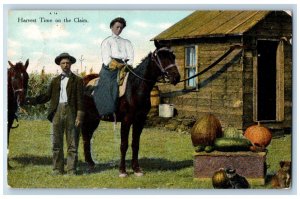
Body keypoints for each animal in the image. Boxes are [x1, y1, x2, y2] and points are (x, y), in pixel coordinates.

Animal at [81, 42, 180, 177]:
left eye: (173, 57)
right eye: (162, 57)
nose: (176, 77)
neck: (135, 88)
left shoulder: (140, 121)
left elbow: (135, 144)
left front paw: (137, 169)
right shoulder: (126, 121)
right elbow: (124, 145)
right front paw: (122, 171)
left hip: (94, 119)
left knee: (88, 135)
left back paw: (90, 163)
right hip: (87, 117)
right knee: (85, 136)